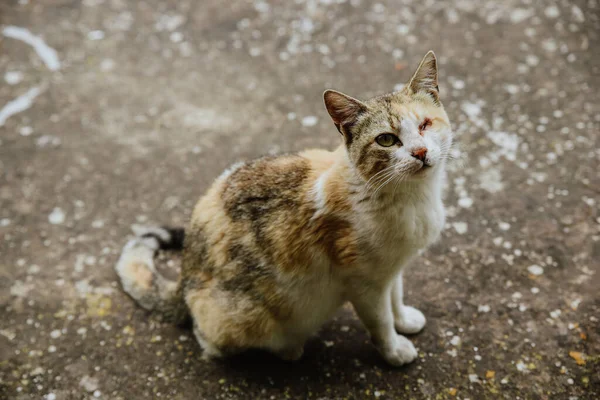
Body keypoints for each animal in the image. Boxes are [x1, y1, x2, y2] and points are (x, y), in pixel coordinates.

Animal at [115, 51, 450, 368]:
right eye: (386, 140)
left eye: (425, 125)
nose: (420, 152)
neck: (411, 197)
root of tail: (185, 275)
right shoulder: (364, 285)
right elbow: (380, 323)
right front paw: (394, 351)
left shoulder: (392, 268)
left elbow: (396, 295)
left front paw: (403, 320)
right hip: (246, 318)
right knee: (207, 338)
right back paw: (286, 349)